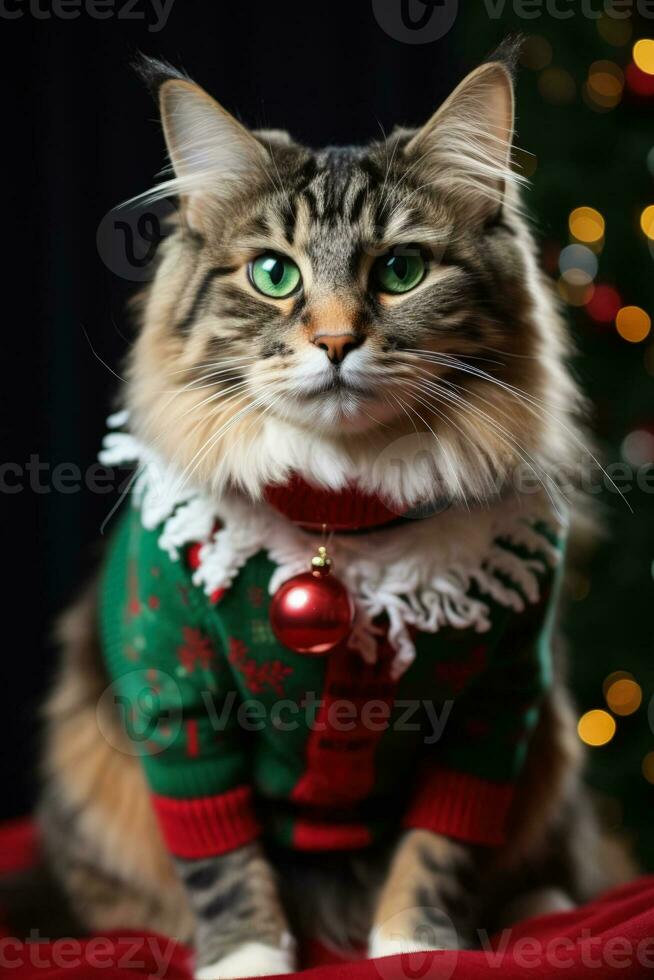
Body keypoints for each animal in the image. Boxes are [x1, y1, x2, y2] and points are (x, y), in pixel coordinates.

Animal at [38, 44, 632, 980]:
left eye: (401, 271)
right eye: (274, 275)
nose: (335, 342)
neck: (339, 520)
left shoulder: (497, 709)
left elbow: (439, 847)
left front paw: (414, 942)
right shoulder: (176, 696)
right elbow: (221, 858)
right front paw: (247, 958)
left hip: (552, 760)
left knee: (560, 862)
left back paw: (541, 907)